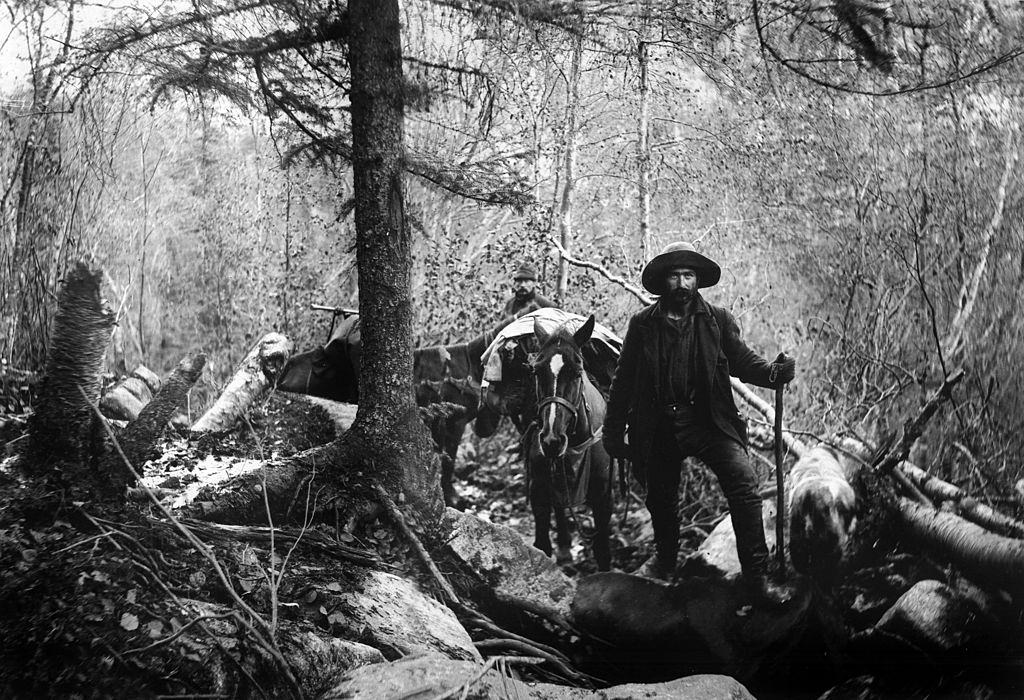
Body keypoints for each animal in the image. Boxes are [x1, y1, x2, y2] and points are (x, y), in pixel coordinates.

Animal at [524, 315, 610, 573]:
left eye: (577, 371)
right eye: (536, 371)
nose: (551, 440)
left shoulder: (603, 494)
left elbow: (603, 548)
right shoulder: (538, 488)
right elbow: (541, 546)